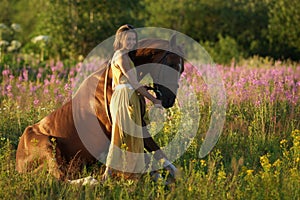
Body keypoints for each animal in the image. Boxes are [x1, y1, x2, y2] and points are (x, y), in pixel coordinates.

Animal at [16, 34, 184, 180]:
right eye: (171, 65)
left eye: (181, 69)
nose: (169, 100)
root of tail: (19, 163)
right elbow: (159, 153)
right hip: (48, 146)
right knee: (60, 177)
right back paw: (92, 181)